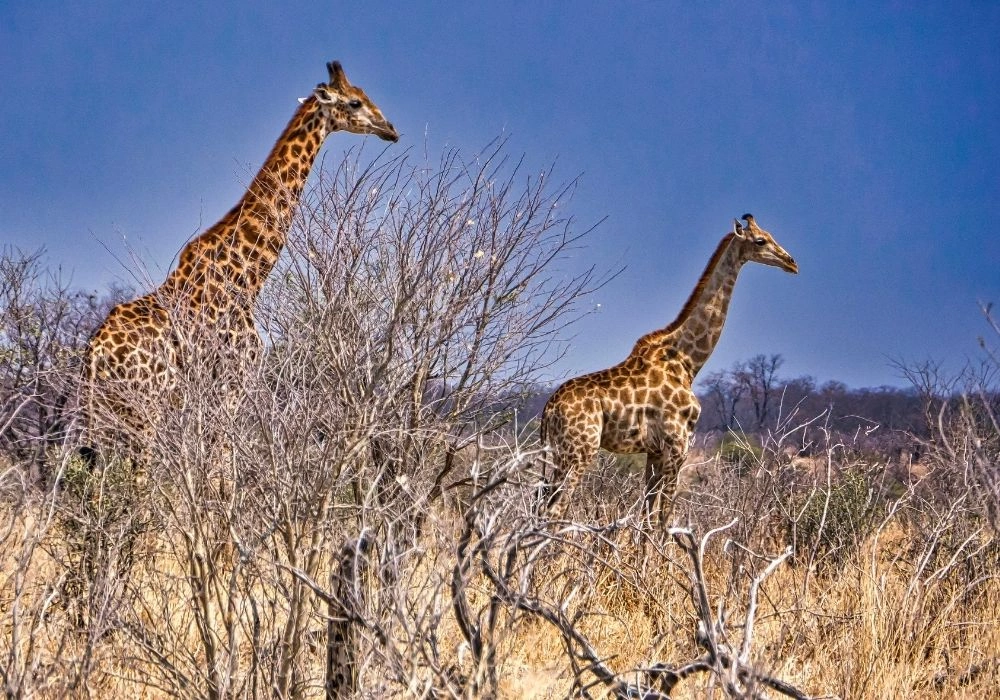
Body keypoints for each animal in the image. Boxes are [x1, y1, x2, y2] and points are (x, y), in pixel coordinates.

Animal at [82, 61, 397, 459]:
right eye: (355, 102)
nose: (391, 129)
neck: (249, 276)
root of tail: (95, 355)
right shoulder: (233, 383)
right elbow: (224, 465)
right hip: (143, 410)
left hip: (103, 416)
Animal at [540, 214, 798, 521]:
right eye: (760, 240)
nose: (791, 262)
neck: (687, 361)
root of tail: (548, 409)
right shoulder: (678, 444)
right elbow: (664, 516)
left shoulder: (654, 450)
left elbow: (647, 516)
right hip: (580, 450)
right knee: (555, 510)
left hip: (558, 452)